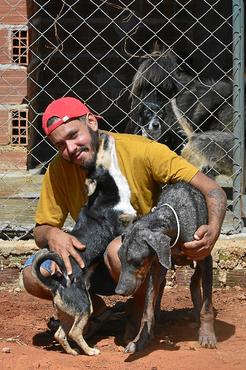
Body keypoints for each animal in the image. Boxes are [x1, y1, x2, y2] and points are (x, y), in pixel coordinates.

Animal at [116, 181, 216, 352]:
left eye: (137, 262)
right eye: (120, 259)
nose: (119, 291)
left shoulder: (205, 255)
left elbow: (207, 306)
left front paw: (207, 334)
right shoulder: (156, 263)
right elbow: (147, 308)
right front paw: (140, 339)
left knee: (195, 279)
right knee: (165, 285)